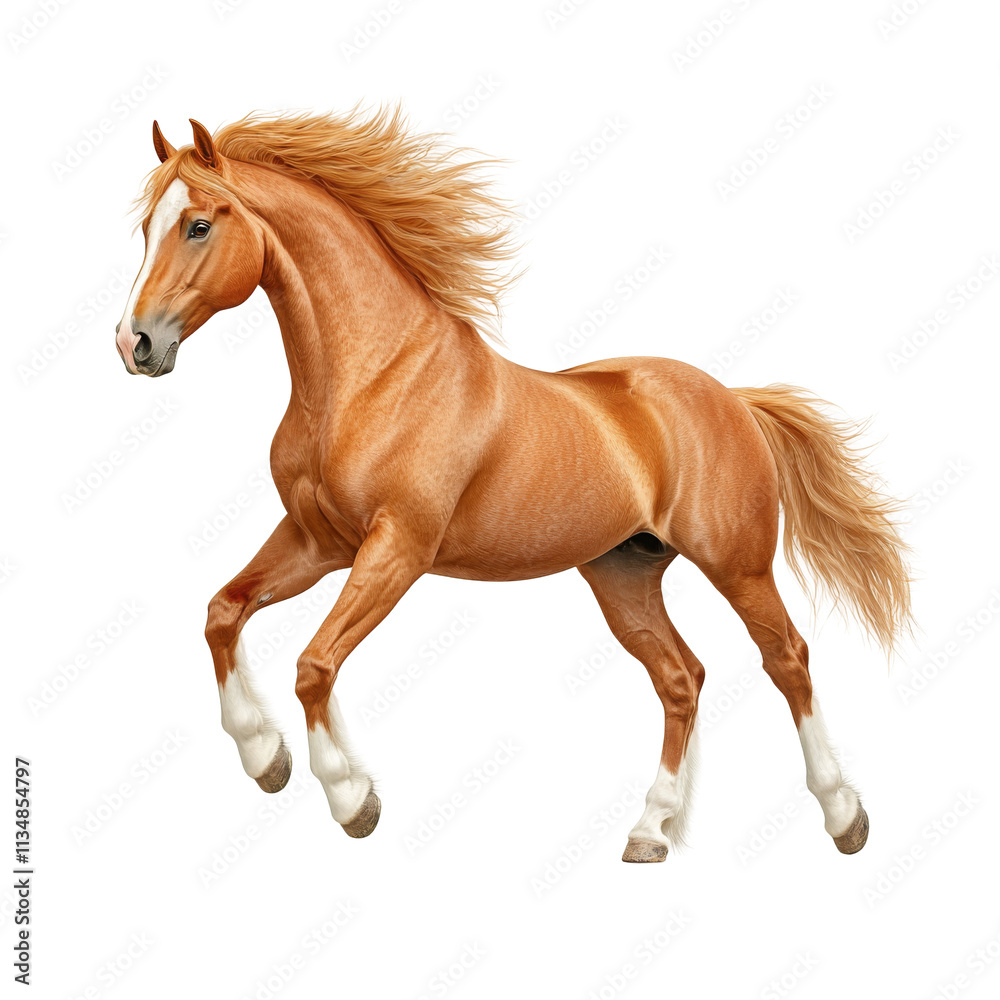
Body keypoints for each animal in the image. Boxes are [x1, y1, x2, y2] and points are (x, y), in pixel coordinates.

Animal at [115, 110, 911, 862]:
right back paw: (650, 831)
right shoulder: (318, 542)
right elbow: (223, 614)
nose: (135, 343)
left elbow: (314, 664)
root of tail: (733, 398)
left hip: (738, 564)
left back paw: (844, 817)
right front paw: (266, 759)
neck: (372, 378)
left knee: (788, 659)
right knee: (682, 677)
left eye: (197, 224)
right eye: (145, 226)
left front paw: (351, 798)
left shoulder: (397, 549)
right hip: (624, 573)